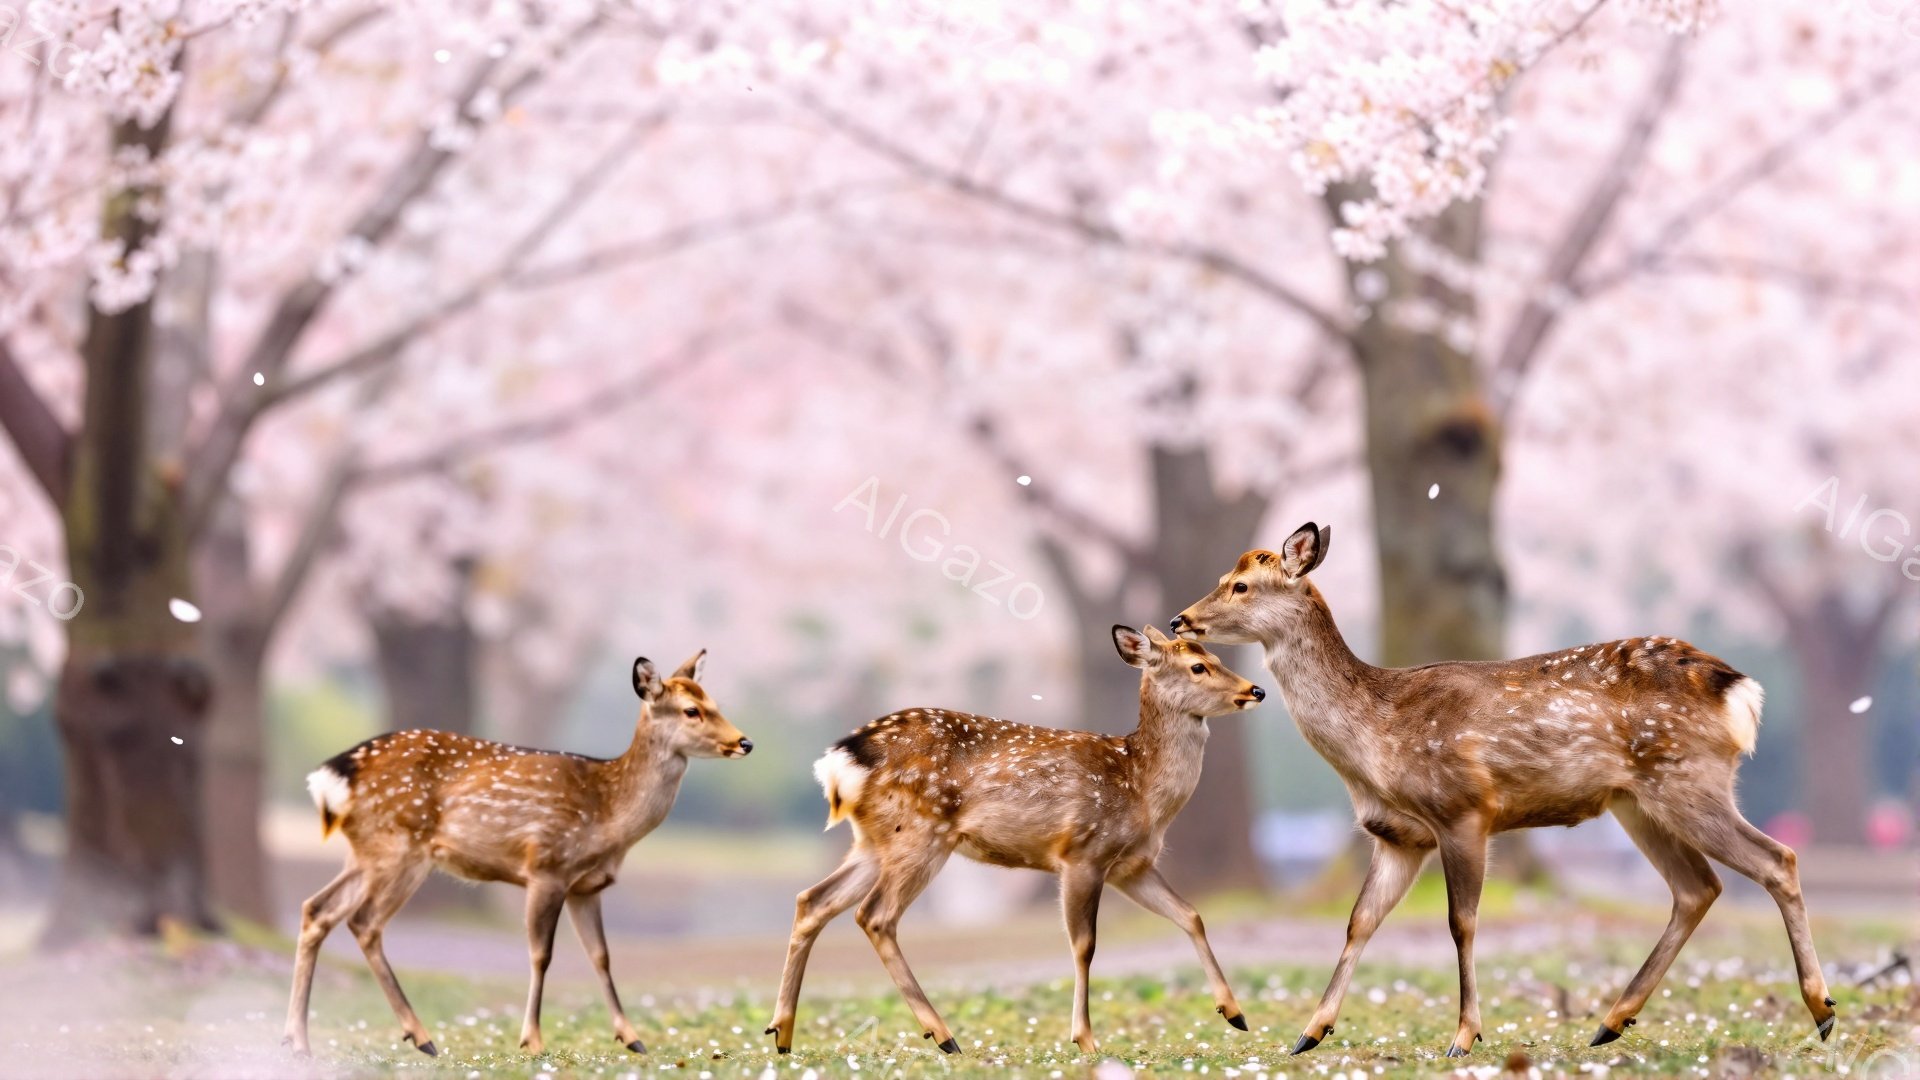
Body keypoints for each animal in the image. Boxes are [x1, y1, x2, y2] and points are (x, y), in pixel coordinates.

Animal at [282, 651, 750, 1059]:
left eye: (715, 703)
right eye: (691, 710)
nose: (744, 742)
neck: (610, 817)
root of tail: (335, 774)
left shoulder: (587, 887)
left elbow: (600, 955)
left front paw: (632, 1037)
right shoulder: (547, 866)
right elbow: (541, 954)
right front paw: (532, 1040)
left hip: (366, 851)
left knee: (317, 908)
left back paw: (298, 1040)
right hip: (400, 848)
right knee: (363, 922)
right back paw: (421, 1037)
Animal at [765, 624, 1266, 1057]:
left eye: (1218, 656)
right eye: (1198, 667)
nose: (1255, 690)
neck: (1141, 788)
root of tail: (842, 758)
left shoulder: (1131, 866)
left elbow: (1191, 914)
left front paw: (1235, 1013)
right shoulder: (1083, 852)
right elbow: (1084, 945)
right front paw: (1085, 1038)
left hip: (873, 841)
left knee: (813, 900)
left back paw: (783, 1032)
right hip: (920, 836)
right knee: (874, 915)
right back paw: (943, 1035)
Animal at [1170, 523, 1836, 1058]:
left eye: (1240, 585)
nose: (1179, 619)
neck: (1373, 742)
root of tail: (1737, 689)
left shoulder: (1463, 809)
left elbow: (1461, 922)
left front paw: (1464, 1036)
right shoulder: (1398, 837)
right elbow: (1360, 921)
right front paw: (1309, 1032)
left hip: (1687, 780)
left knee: (1777, 858)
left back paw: (1823, 1010)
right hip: (1638, 803)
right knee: (1698, 887)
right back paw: (1610, 1023)